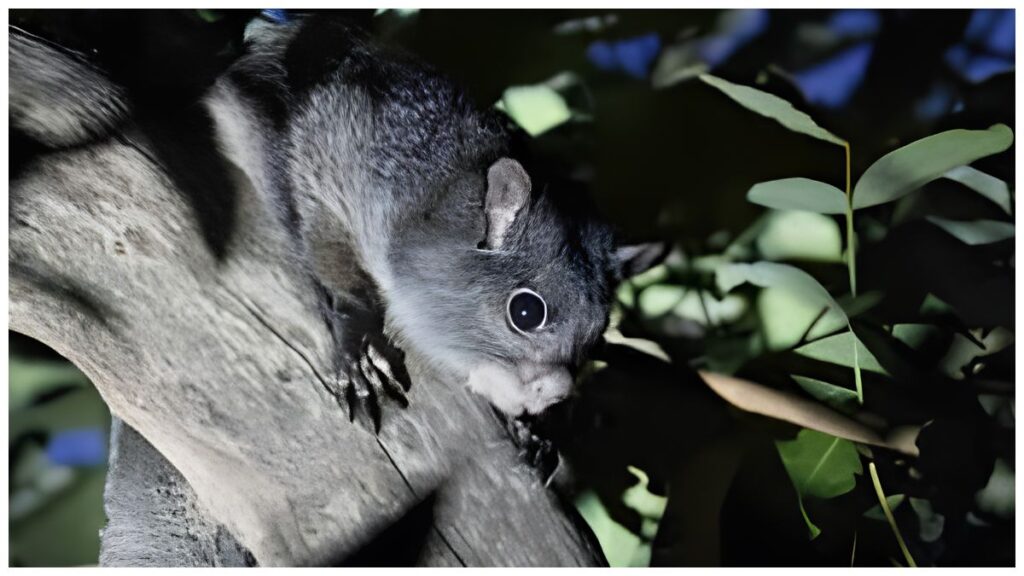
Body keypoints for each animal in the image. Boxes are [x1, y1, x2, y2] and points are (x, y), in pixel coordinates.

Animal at [10, 13, 665, 430]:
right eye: (526, 312)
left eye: (597, 336)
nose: (553, 396)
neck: (432, 192)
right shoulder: (333, 157)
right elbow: (334, 261)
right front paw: (358, 341)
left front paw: (539, 437)